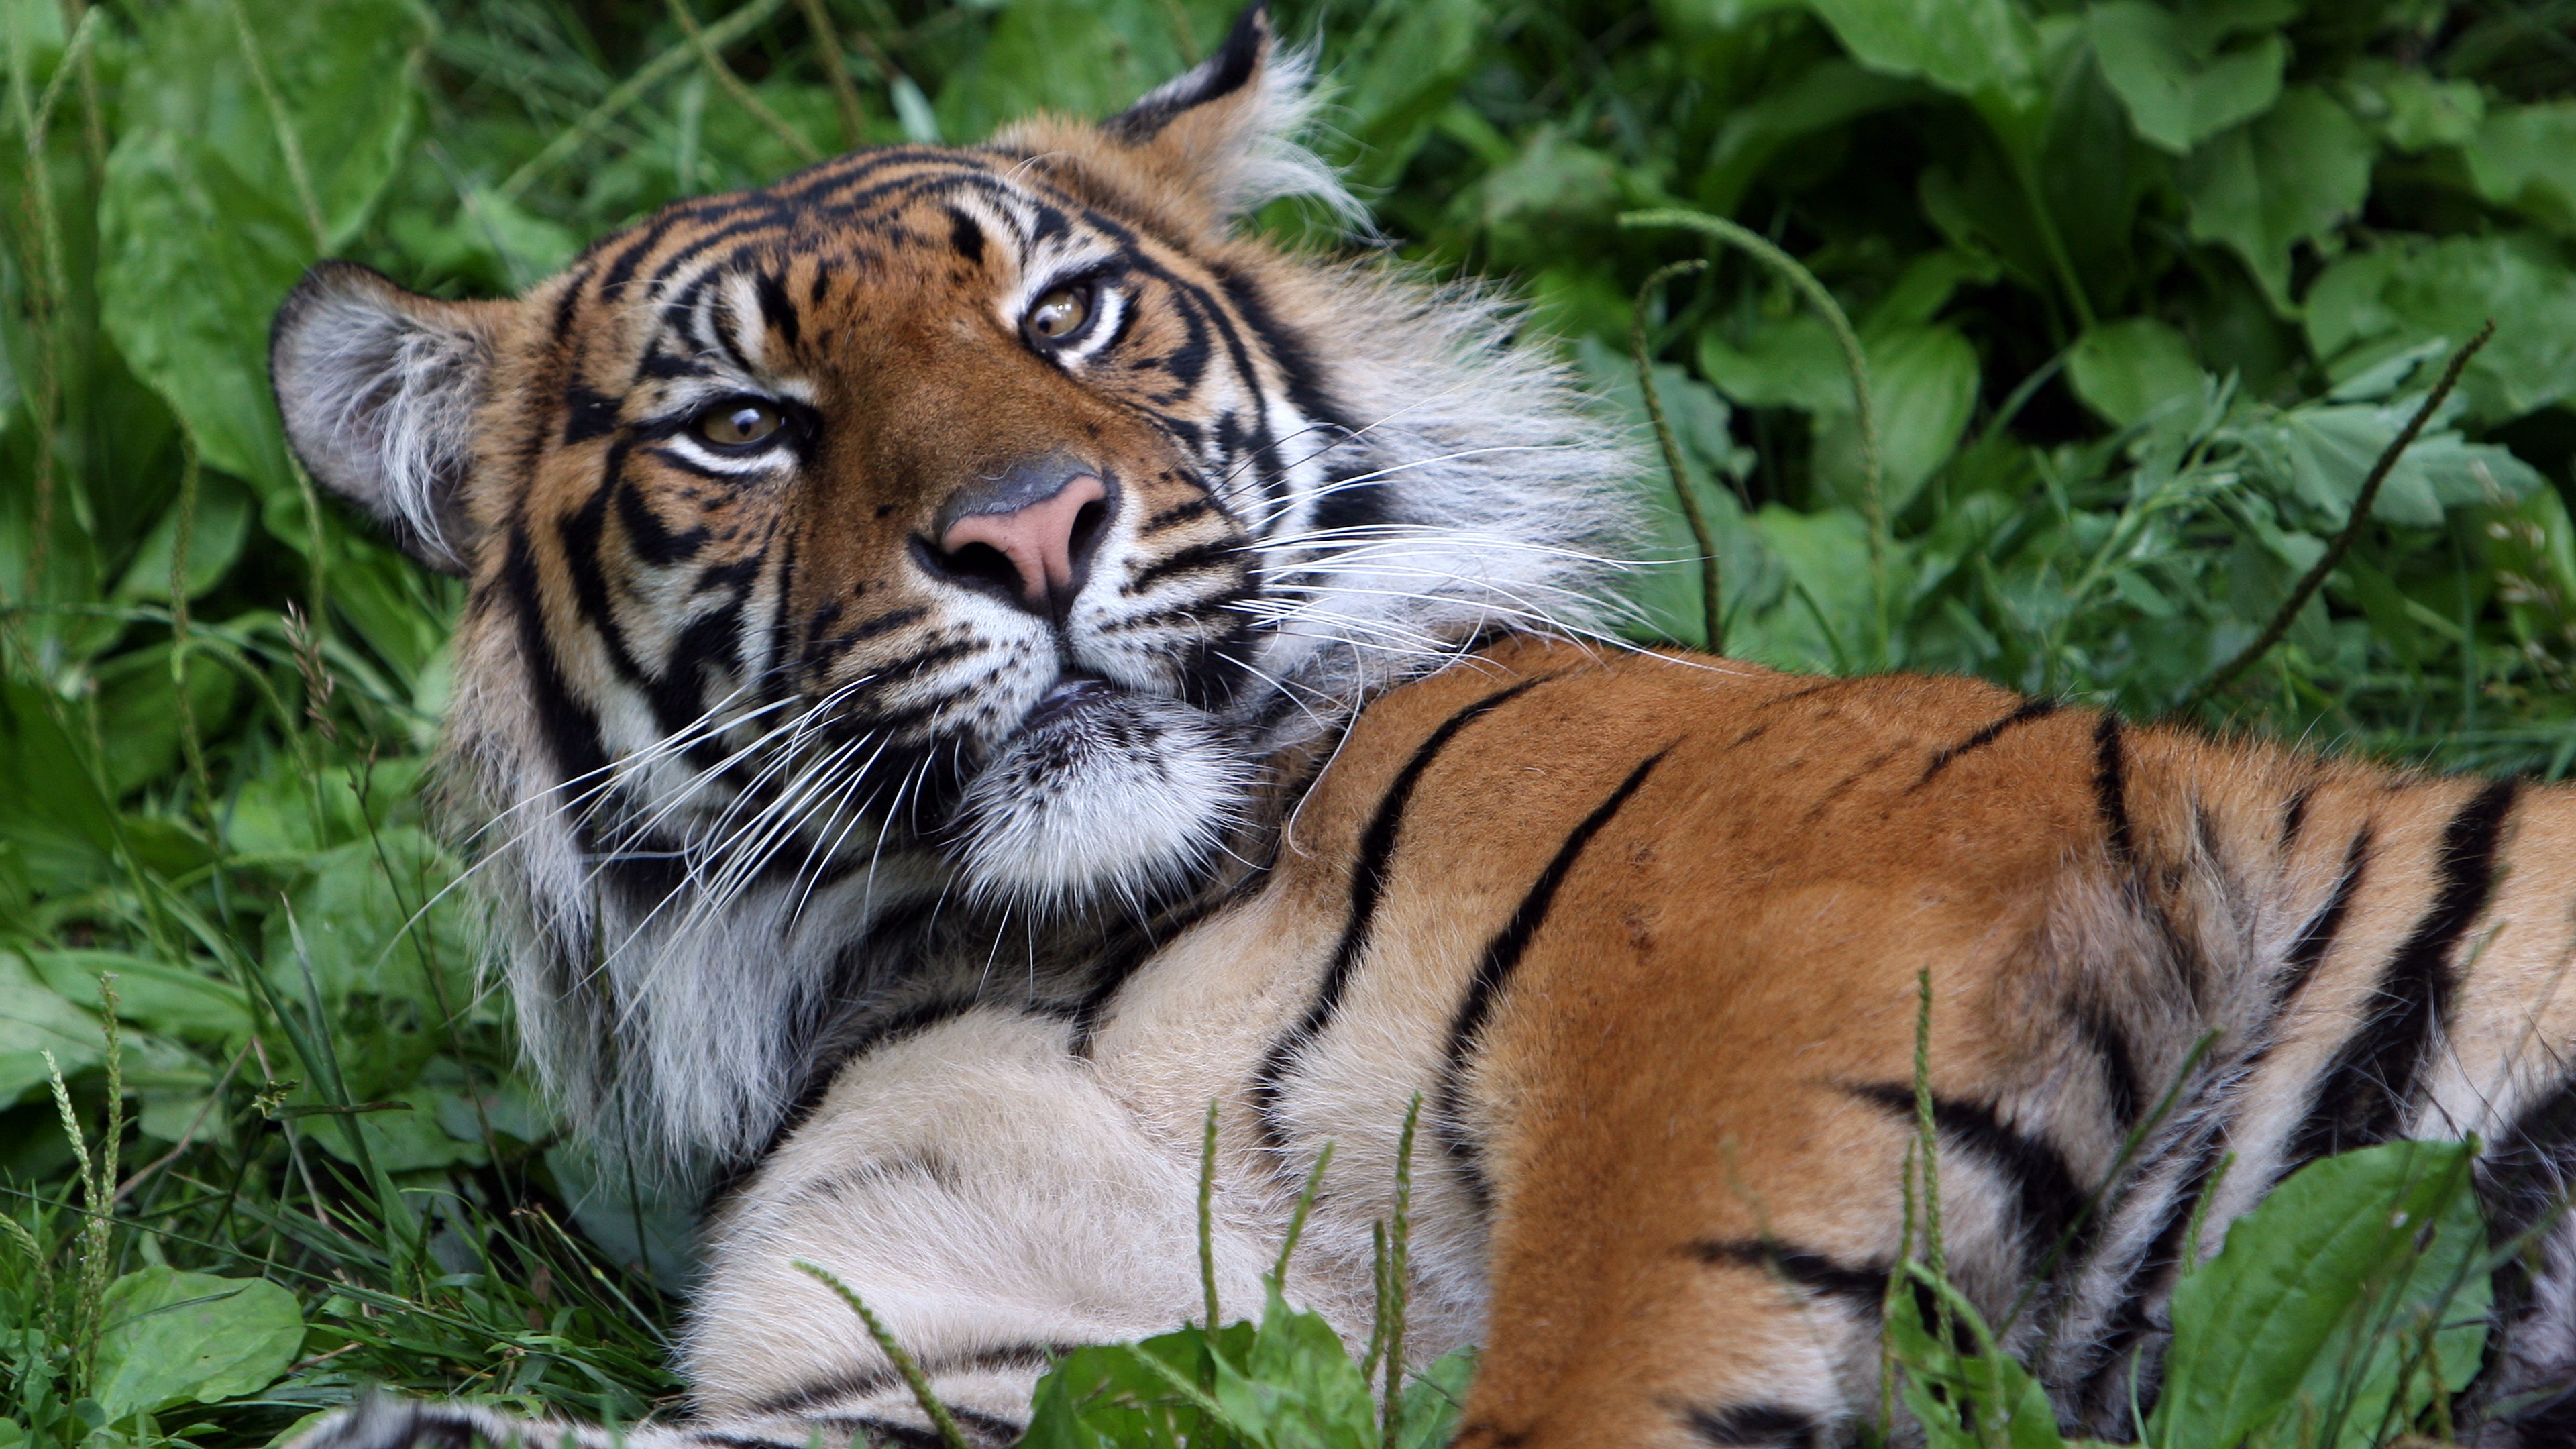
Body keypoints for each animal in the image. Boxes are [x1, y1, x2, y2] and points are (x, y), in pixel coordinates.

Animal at [266, 7, 2576, 1448]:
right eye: (743, 426)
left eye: (1064, 314)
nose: (1027, 530)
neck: (1035, 938)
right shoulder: (1008, 1342)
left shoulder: (1818, 917)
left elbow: (1605, 1357)